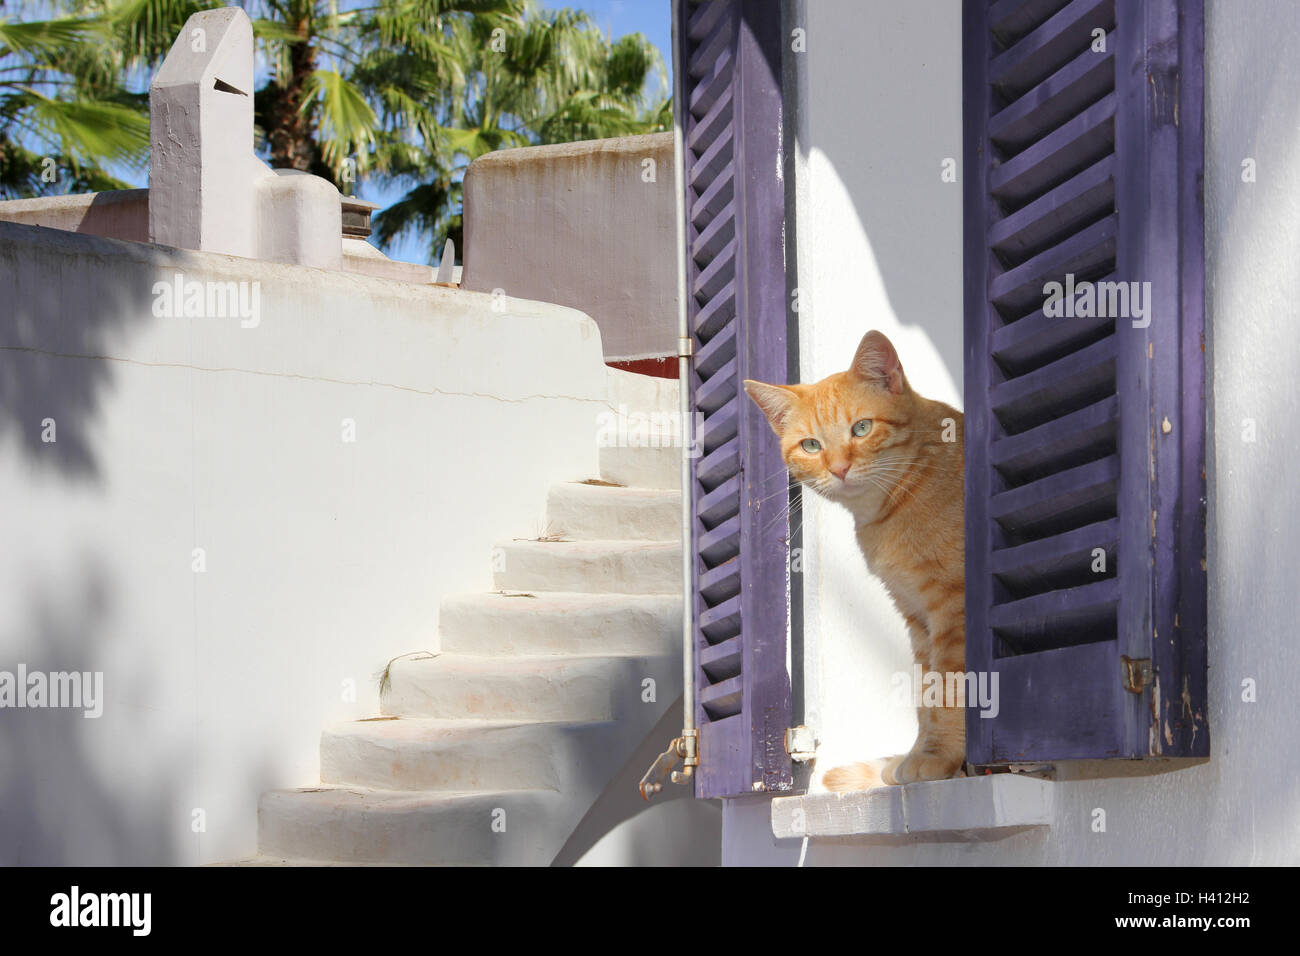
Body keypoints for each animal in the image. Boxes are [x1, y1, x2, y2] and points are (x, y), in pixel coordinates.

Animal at [743, 332, 967, 790]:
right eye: (811, 445)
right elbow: (926, 693)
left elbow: (950, 687)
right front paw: (919, 754)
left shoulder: (953, 608)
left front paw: (938, 756)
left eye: (861, 428)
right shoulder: (918, 617)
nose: (840, 468)